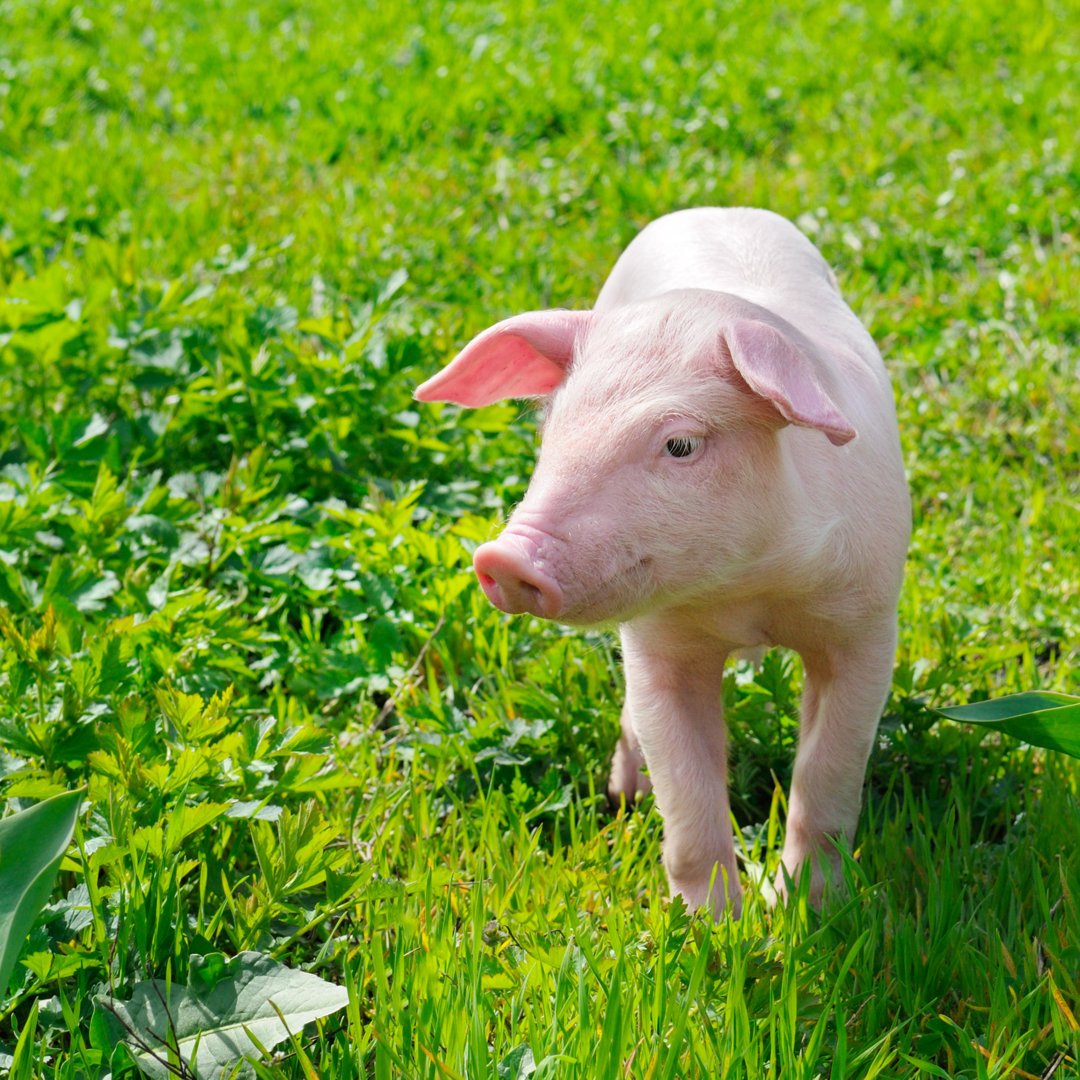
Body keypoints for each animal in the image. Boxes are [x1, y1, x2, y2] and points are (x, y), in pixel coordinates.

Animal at [416, 206, 907, 915]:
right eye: (551, 429)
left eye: (681, 444)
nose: (504, 557)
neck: (749, 593)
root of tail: (717, 209)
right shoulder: (658, 645)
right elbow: (685, 794)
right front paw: (713, 925)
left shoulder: (867, 623)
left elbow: (828, 774)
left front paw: (806, 911)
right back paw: (625, 794)